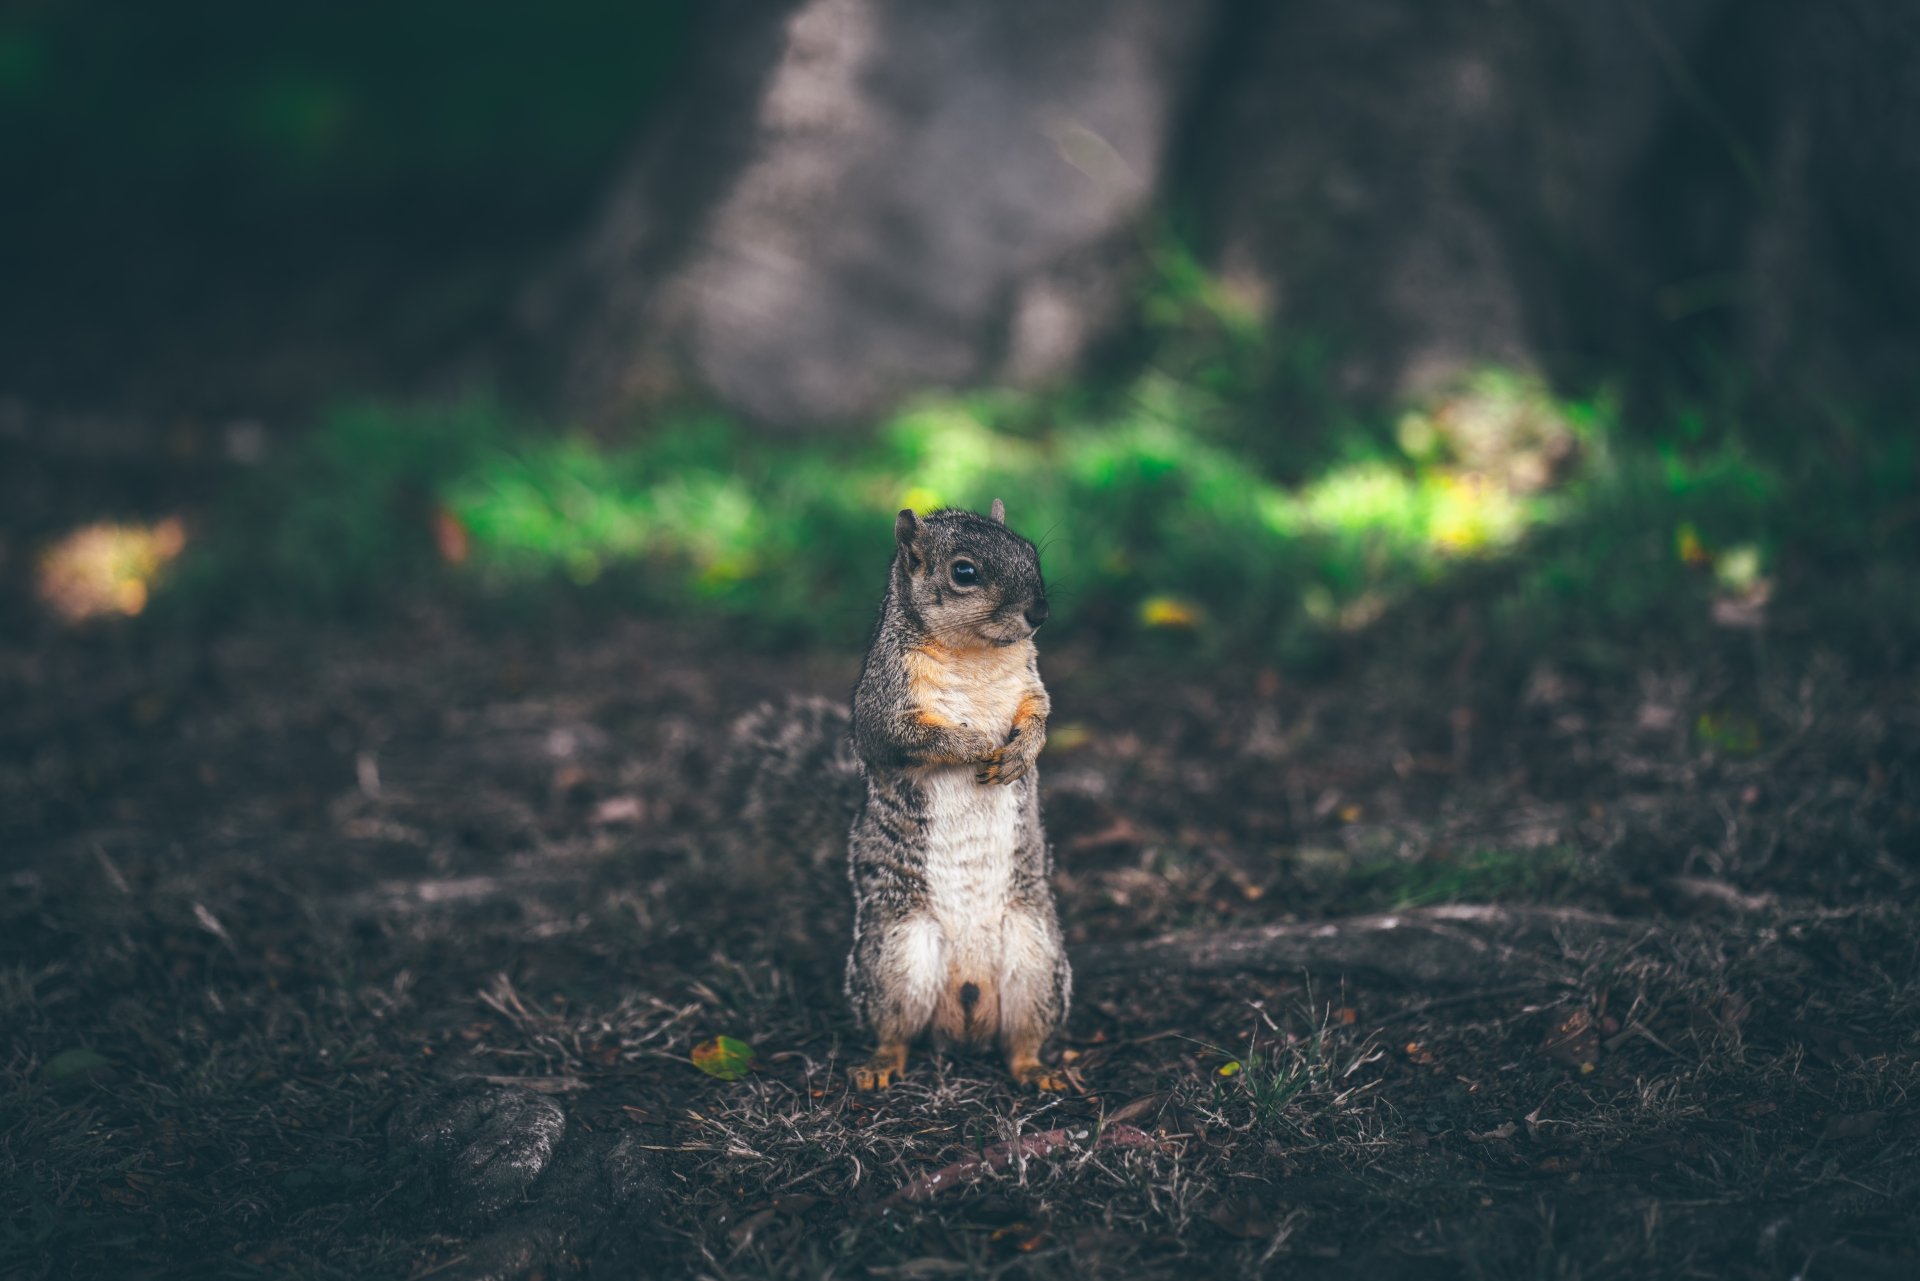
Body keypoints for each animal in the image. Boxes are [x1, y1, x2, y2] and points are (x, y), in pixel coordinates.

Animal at [716, 499, 1069, 1091]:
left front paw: (1021, 752)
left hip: (1036, 958)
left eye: (1030, 551)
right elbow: (913, 738)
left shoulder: (1030, 684)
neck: (976, 654)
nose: (1039, 613)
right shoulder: (884, 704)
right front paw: (976, 742)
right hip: (896, 957)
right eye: (964, 571)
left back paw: (1037, 1069)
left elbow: (1039, 717)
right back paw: (881, 1065)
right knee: (895, 1030)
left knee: (1021, 1038)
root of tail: (965, 1013)